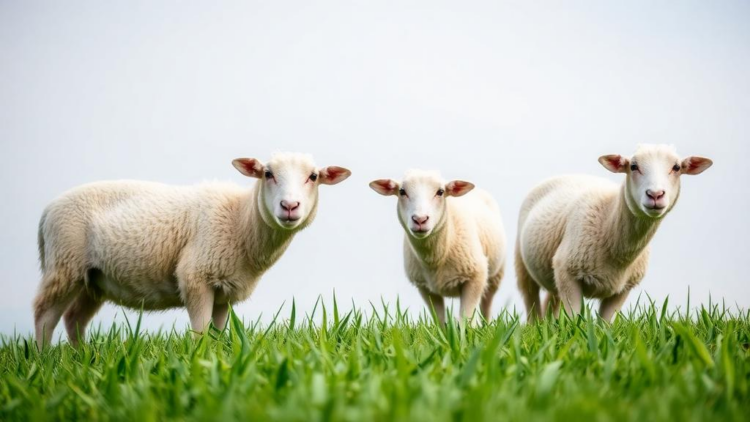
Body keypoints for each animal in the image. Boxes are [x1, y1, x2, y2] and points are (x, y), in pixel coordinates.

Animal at [33, 153, 351, 348]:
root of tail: (47, 211)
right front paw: (200, 363)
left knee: (74, 319)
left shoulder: (225, 290)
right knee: (44, 315)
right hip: (65, 263)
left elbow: (218, 332)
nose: (289, 206)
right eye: (267, 173)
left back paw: (82, 358)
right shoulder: (195, 276)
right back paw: (44, 360)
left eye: (313, 176)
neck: (240, 220)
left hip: (92, 279)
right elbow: (200, 333)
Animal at [370, 170, 506, 324]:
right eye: (402, 191)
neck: (434, 259)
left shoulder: (475, 277)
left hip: (495, 276)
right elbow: (439, 320)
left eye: (440, 192)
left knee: (486, 307)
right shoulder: (424, 287)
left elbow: (466, 320)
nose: (420, 219)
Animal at [515, 144, 712, 322]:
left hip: (554, 275)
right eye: (633, 166)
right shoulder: (567, 272)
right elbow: (573, 320)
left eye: (676, 167)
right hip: (523, 265)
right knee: (531, 301)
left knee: (551, 302)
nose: (655, 194)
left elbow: (605, 325)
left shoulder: (623, 288)